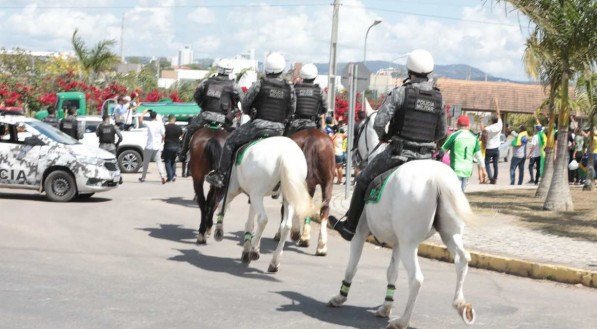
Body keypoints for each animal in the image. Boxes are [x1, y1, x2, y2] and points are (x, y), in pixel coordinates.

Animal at [213, 136, 316, 272]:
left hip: (256, 194)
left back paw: (254, 250)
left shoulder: (235, 188)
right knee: (286, 226)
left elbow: (222, 205)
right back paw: (274, 262)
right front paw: (245, 250)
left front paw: (219, 231)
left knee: (263, 219)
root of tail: (284, 154)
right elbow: (249, 223)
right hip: (287, 196)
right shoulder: (252, 196)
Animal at [284, 127, 336, 255]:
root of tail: (311, 139)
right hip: (328, 182)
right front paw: (305, 237)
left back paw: (296, 232)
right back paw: (321, 246)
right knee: (324, 208)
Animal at [326, 112, 474, 326]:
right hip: (448, 234)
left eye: (359, 129)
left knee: (416, 278)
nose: (352, 155)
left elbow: (352, 266)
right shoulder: (396, 243)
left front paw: (340, 297)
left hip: (409, 244)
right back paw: (461, 305)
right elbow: (392, 272)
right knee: (462, 260)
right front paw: (385, 306)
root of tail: (437, 179)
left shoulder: (360, 233)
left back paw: (402, 321)